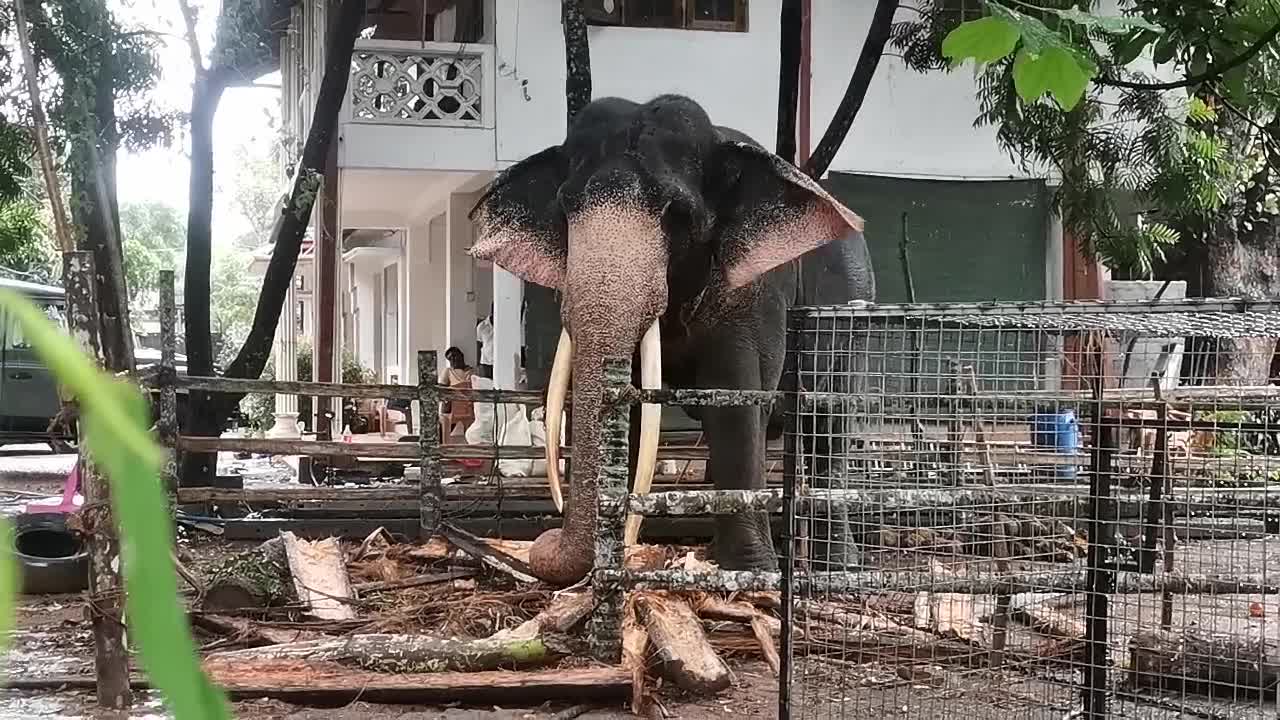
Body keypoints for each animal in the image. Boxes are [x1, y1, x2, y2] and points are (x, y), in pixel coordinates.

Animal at [471, 92, 880, 584]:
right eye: (566, 208)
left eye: (677, 214)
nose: (541, 543)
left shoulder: (753, 292)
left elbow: (735, 400)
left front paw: (749, 574)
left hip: (852, 315)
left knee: (827, 426)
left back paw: (836, 570)